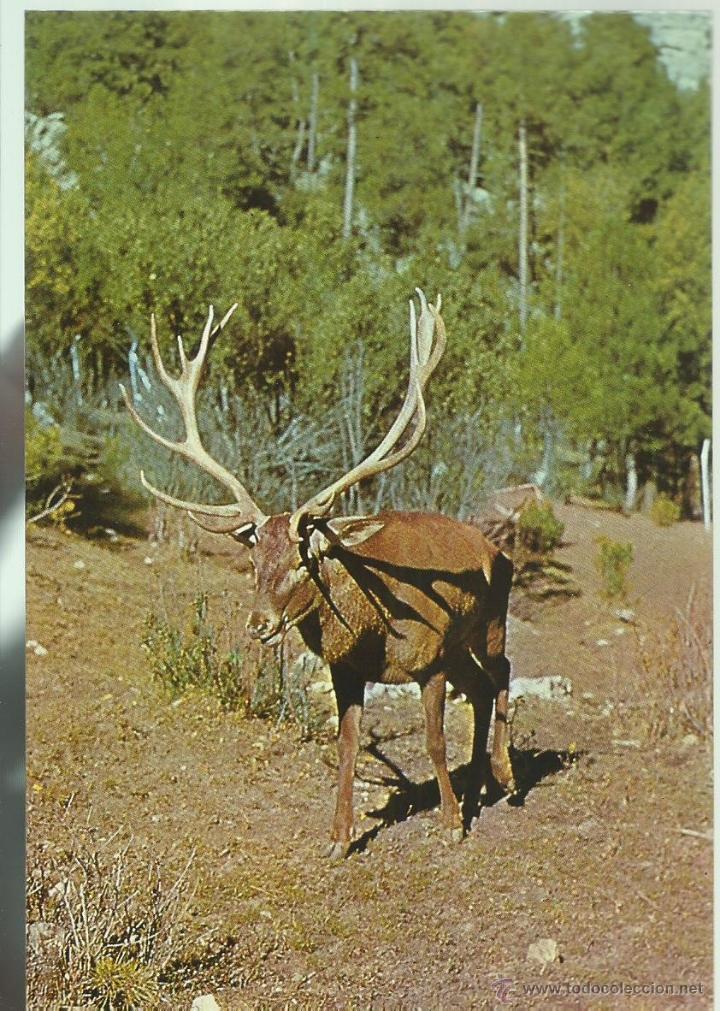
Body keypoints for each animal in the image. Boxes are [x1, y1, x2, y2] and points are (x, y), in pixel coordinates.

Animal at [121, 290, 516, 859]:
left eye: (303, 560)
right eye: (254, 562)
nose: (259, 624)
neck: (375, 631)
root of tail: (495, 549)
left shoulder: (430, 657)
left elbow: (435, 741)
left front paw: (449, 825)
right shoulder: (346, 670)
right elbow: (347, 746)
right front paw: (339, 838)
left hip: (489, 623)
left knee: (502, 673)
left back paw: (505, 778)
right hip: (461, 644)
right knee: (483, 688)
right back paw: (479, 787)